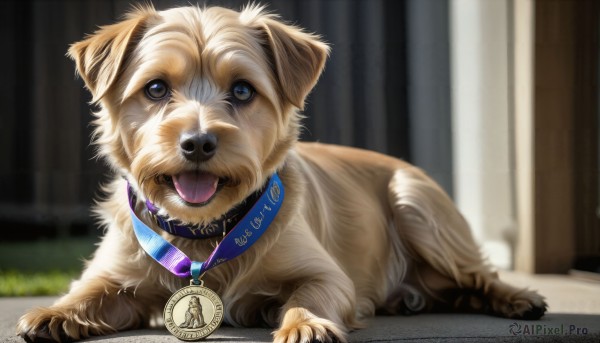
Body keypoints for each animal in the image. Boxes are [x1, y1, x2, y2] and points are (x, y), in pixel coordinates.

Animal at [16, 3, 548, 343]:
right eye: (156, 88)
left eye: (243, 90)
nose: (198, 142)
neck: (203, 234)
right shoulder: (114, 273)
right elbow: (86, 292)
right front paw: (53, 312)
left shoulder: (327, 273)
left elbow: (310, 291)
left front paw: (303, 322)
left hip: (417, 204)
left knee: (479, 275)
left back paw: (518, 297)